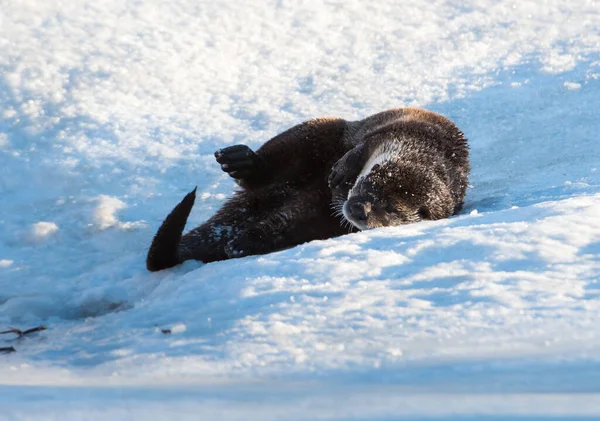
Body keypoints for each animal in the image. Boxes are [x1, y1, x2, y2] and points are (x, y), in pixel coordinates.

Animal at [146, 108, 468, 270]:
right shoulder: (400, 128)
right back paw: (241, 161)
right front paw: (341, 172)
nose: (359, 209)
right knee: (274, 160)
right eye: (370, 183)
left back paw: (242, 243)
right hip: (318, 131)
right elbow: (364, 146)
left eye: (390, 210)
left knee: (279, 223)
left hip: (309, 215)